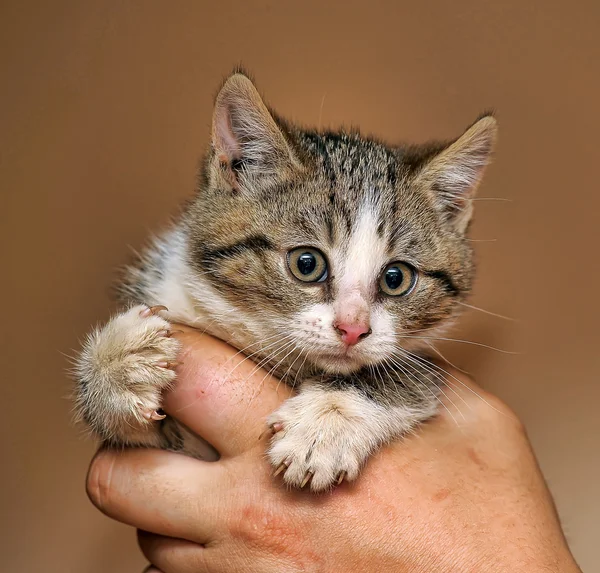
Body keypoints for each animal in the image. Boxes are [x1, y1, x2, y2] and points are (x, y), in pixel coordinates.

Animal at [75, 71, 496, 492]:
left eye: (396, 278)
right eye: (306, 264)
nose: (353, 328)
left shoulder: (420, 359)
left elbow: (409, 374)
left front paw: (325, 423)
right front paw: (117, 363)